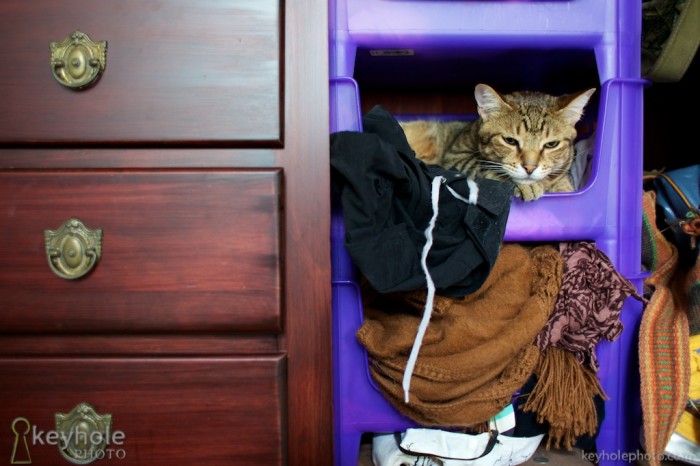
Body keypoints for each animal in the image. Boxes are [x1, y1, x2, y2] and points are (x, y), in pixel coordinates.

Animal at [400, 83, 596, 200]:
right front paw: (527, 185)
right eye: (510, 141)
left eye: (551, 145)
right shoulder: (456, 158)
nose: (530, 168)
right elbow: (487, 170)